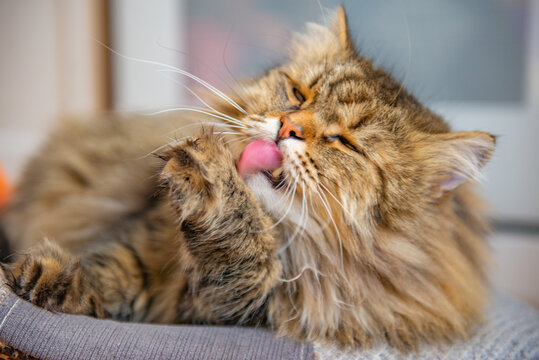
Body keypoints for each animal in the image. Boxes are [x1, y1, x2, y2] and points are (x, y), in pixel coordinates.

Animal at [1, 7, 498, 350]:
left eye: (345, 143)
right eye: (298, 94)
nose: (287, 127)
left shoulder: (226, 309)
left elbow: (240, 260)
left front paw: (214, 184)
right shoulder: (142, 243)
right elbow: (109, 267)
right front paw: (39, 280)